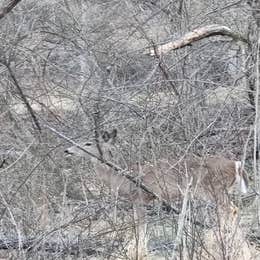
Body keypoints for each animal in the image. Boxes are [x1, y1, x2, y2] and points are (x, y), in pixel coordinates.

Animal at [64, 129, 249, 260]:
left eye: (88, 143)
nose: (67, 150)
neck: (121, 177)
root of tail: (236, 164)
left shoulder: (140, 197)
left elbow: (141, 226)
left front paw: (140, 251)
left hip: (212, 189)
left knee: (231, 209)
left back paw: (226, 242)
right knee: (230, 210)